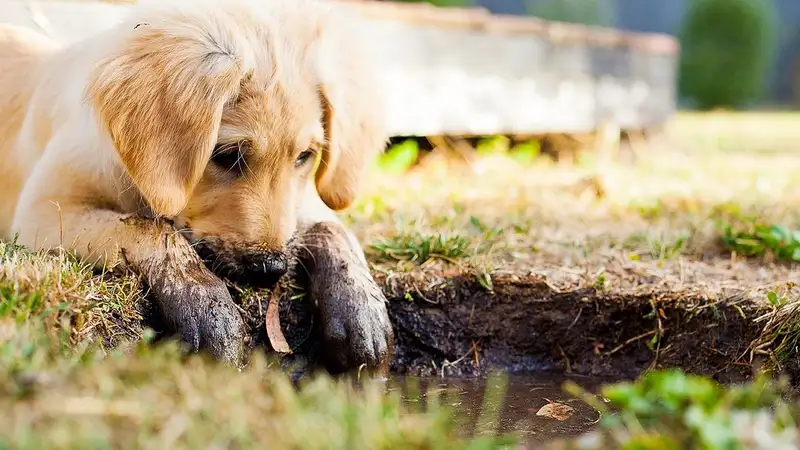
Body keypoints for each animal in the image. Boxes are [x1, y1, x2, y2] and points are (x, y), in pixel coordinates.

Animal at [0, 0, 394, 372]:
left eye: (304, 156)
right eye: (228, 155)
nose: (271, 270)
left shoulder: (299, 203)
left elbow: (332, 227)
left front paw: (360, 308)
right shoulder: (43, 211)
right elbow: (149, 229)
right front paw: (205, 304)